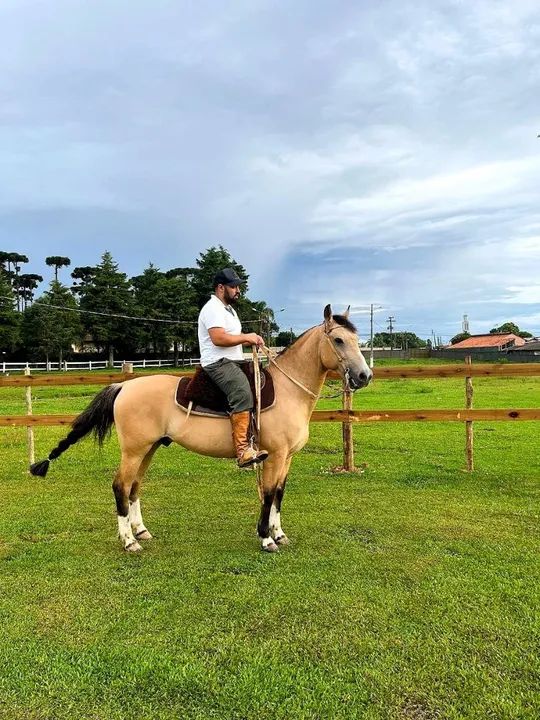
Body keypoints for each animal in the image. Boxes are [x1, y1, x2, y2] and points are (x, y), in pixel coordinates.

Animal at [30, 305, 372, 552]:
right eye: (339, 340)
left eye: (358, 341)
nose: (364, 376)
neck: (290, 390)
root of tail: (124, 387)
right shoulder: (275, 455)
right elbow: (268, 494)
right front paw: (265, 538)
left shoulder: (286, 458)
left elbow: (279, 494)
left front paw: (279, 534)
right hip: (134, 449)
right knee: (120, 486)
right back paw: (128, 542)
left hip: (149, 448)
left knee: (135, 486)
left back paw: (141, 532)